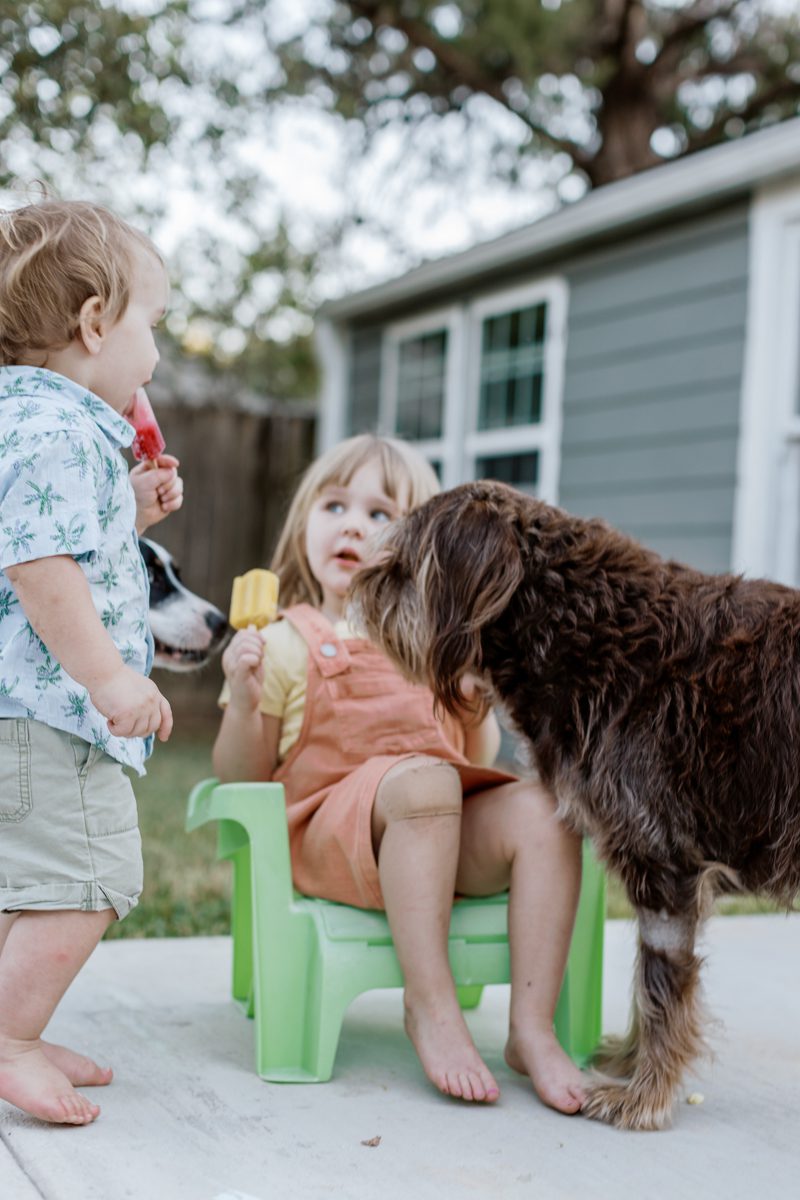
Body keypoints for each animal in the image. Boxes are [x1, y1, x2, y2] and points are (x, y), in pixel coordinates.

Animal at [352, 480, 800, 1132]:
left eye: (405, 563)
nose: (360, 586)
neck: (592, 631)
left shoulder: (663, 864)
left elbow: (660, 986)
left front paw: (644, 1095)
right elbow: (647, 985)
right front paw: (631, 1063)